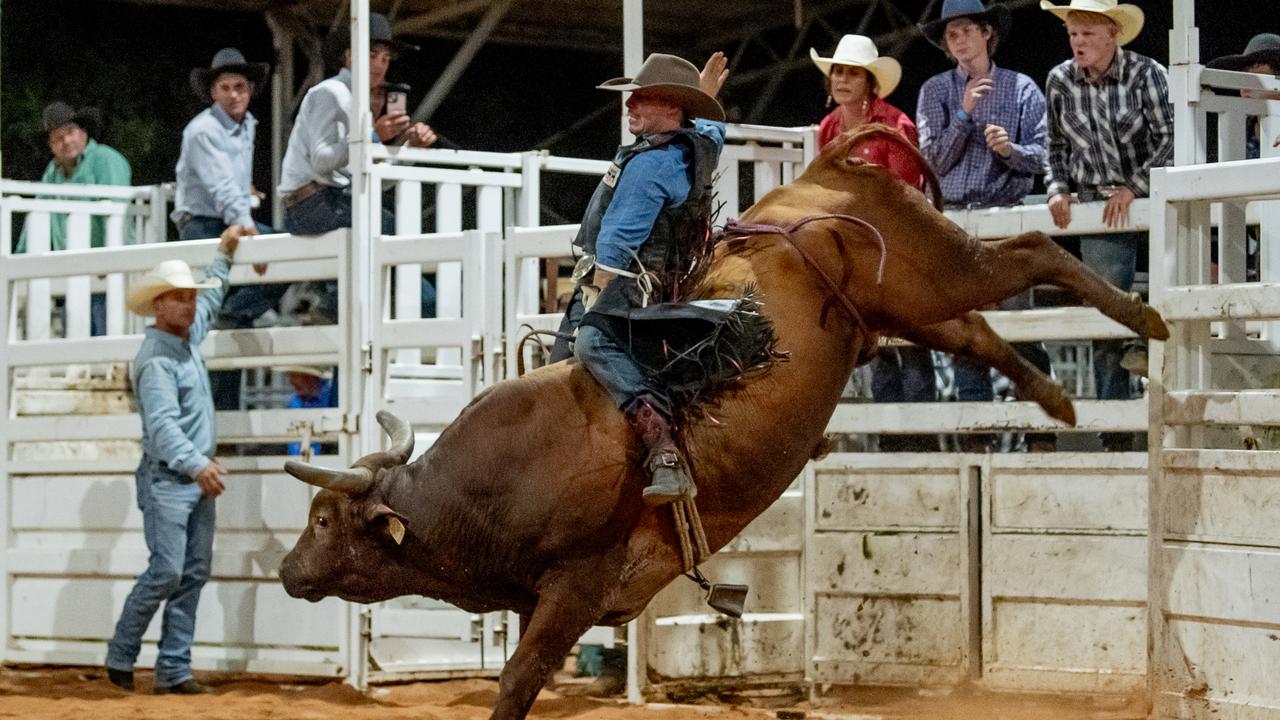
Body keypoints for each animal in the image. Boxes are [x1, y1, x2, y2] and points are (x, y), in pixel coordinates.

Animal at [282, 124, 1172, 717]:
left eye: (324, 520)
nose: (288, 573)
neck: (479, 490)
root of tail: (825, 169)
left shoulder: (575, 584)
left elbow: (518, 678)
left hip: (941, 271)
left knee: (1031, 252)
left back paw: (1144, 320)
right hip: (907, 307)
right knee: (978, 330)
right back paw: (1057, 399)